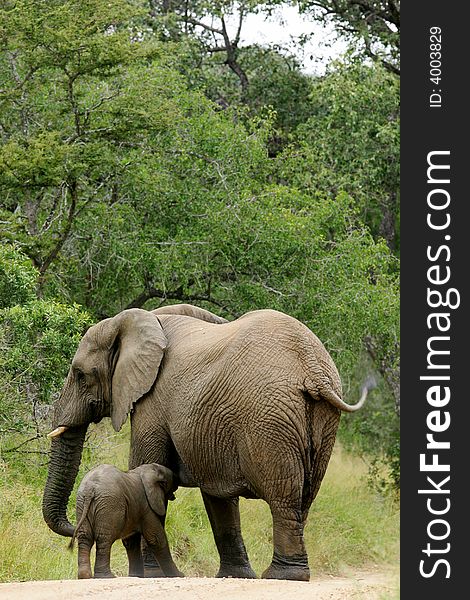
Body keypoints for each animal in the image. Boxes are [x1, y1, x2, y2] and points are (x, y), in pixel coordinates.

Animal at [44, 304, 372, 580]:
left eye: (80, 375)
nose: (74, 525)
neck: (141, 319)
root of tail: (312, 368)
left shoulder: (152, 400)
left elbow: (147, 464)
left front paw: (150, 575)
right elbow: (217, 494)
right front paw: (236, 577)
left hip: (268, 417)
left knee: (283, 496)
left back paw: (283, 576)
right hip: (322, 420)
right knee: (305, 496)